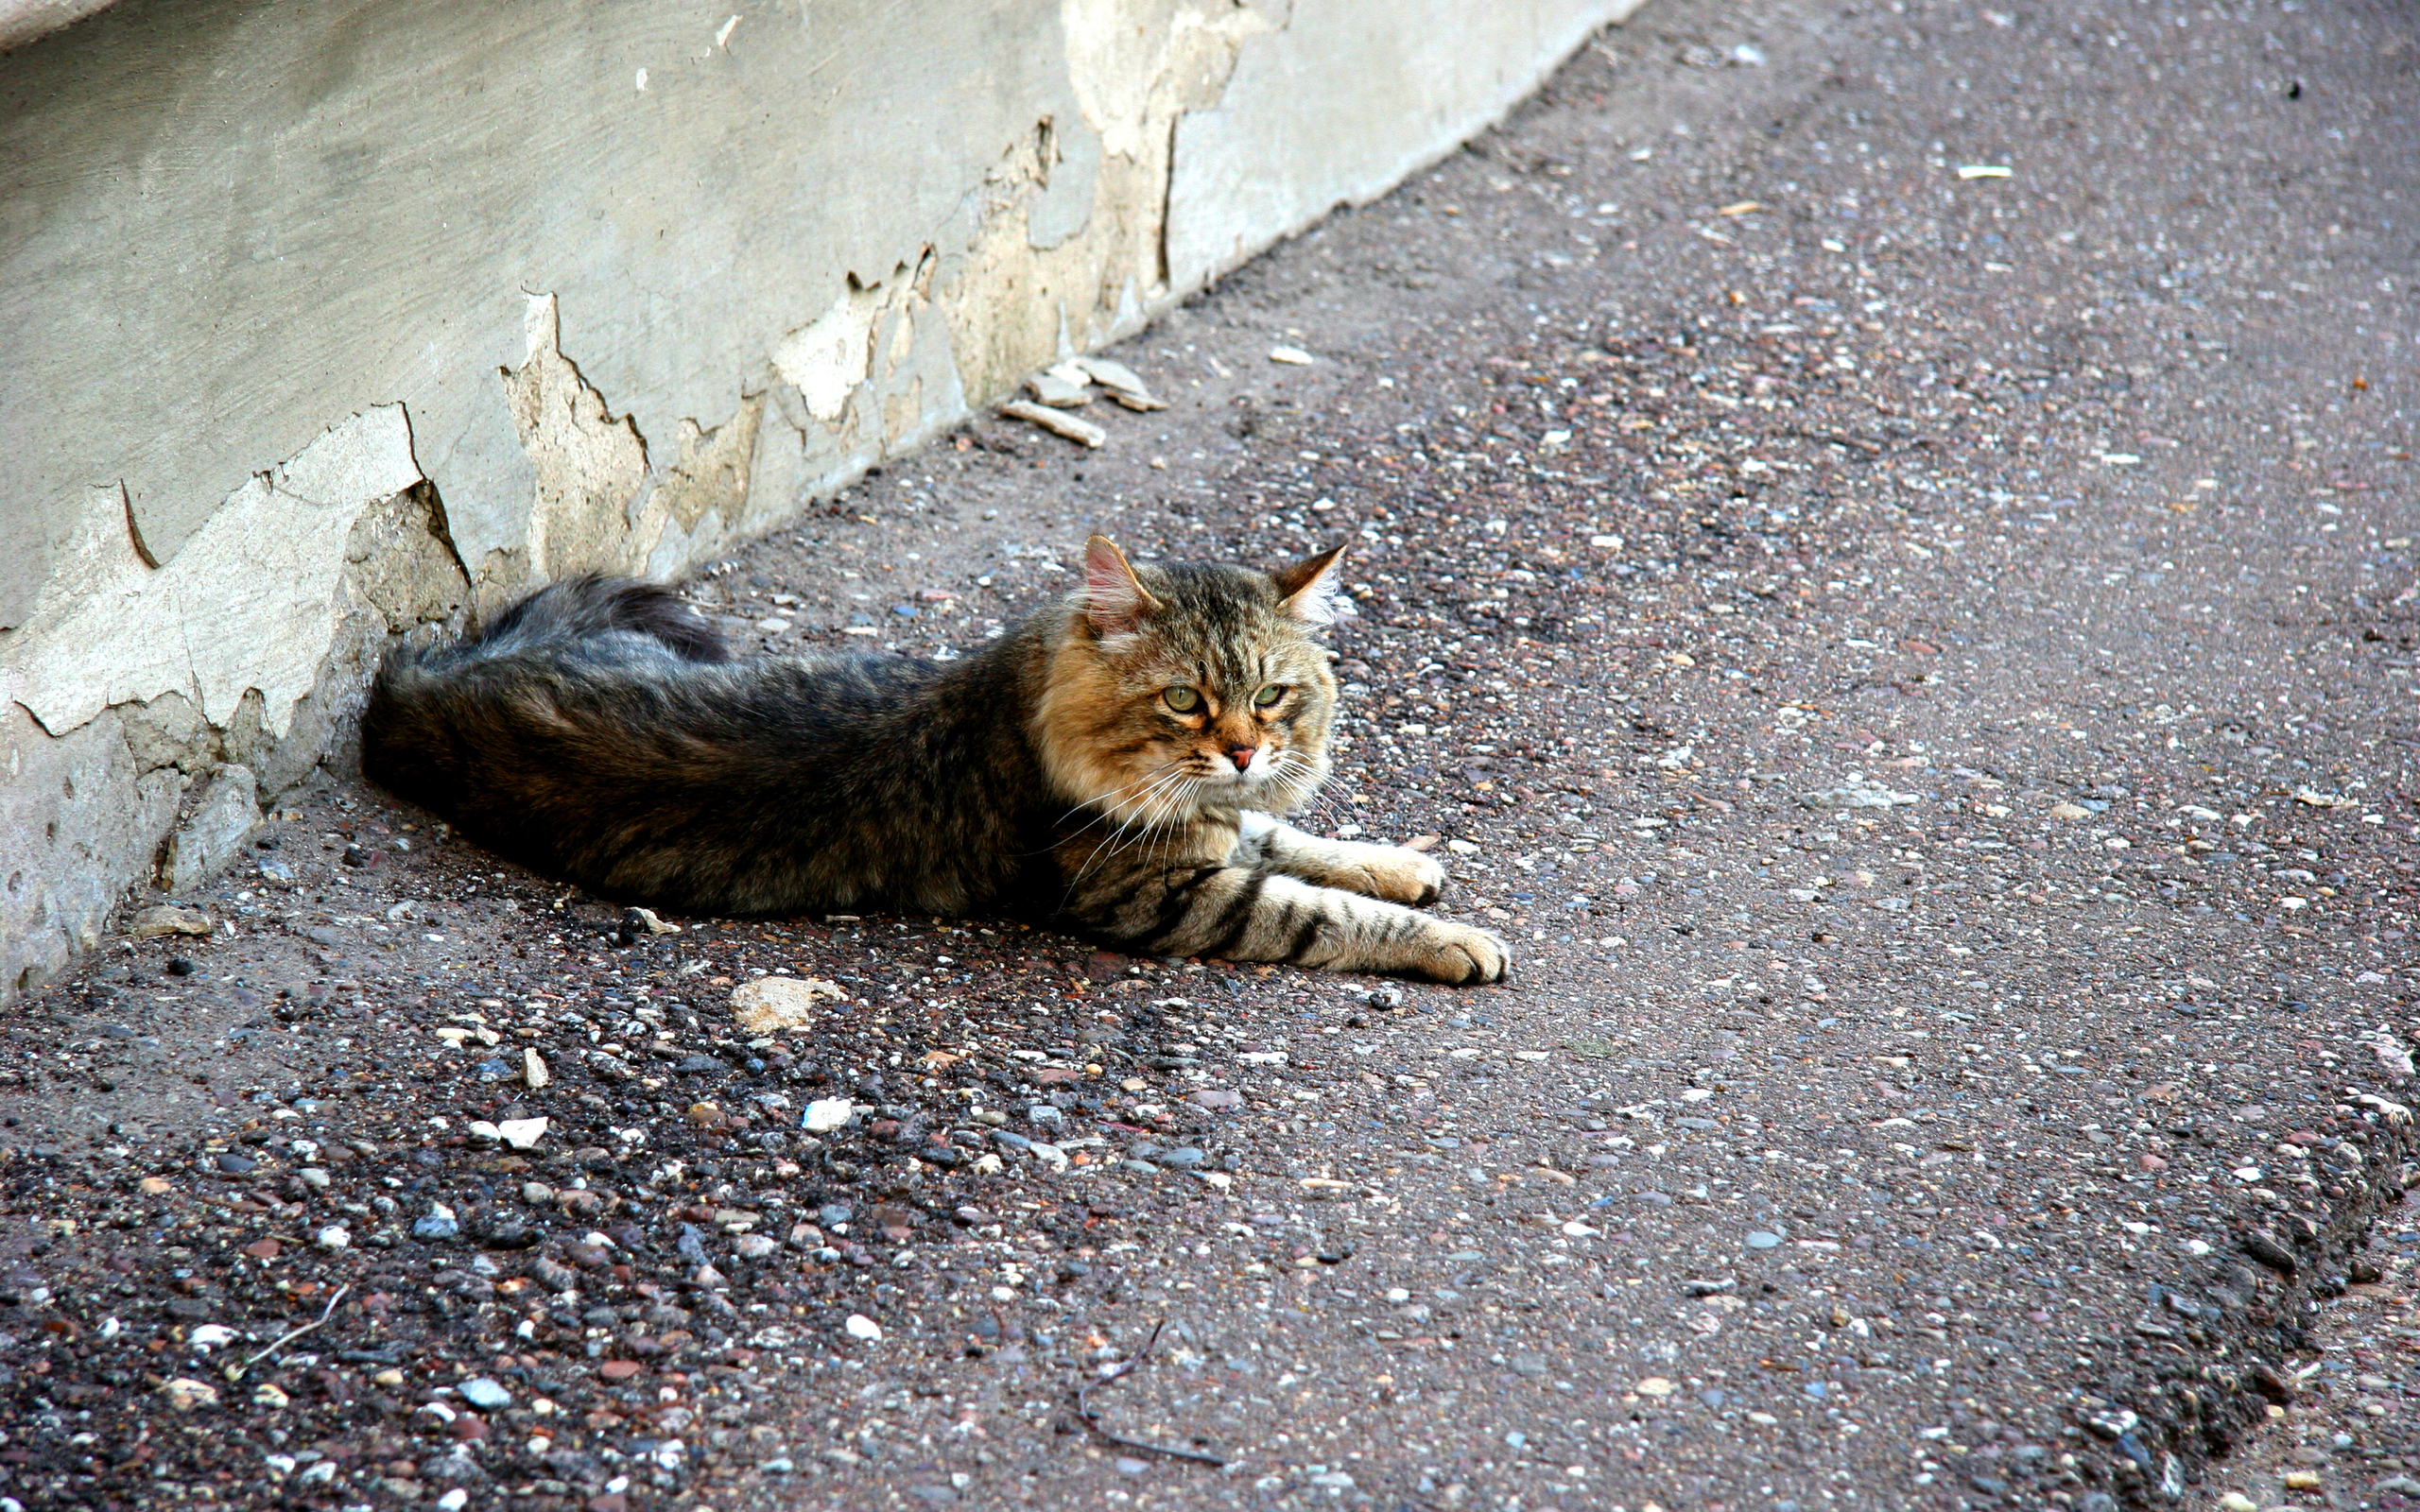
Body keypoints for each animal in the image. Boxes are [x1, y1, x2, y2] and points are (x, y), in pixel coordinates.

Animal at [355, 537, 1500, 987]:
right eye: (1184, 700)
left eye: (1269, 695)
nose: (1245, 747)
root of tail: (419, 683)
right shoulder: (1161, 893)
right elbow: (1325, 910)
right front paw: (1454, 937)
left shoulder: (1215, 829)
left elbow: (1297, 837)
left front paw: (1404, 861)